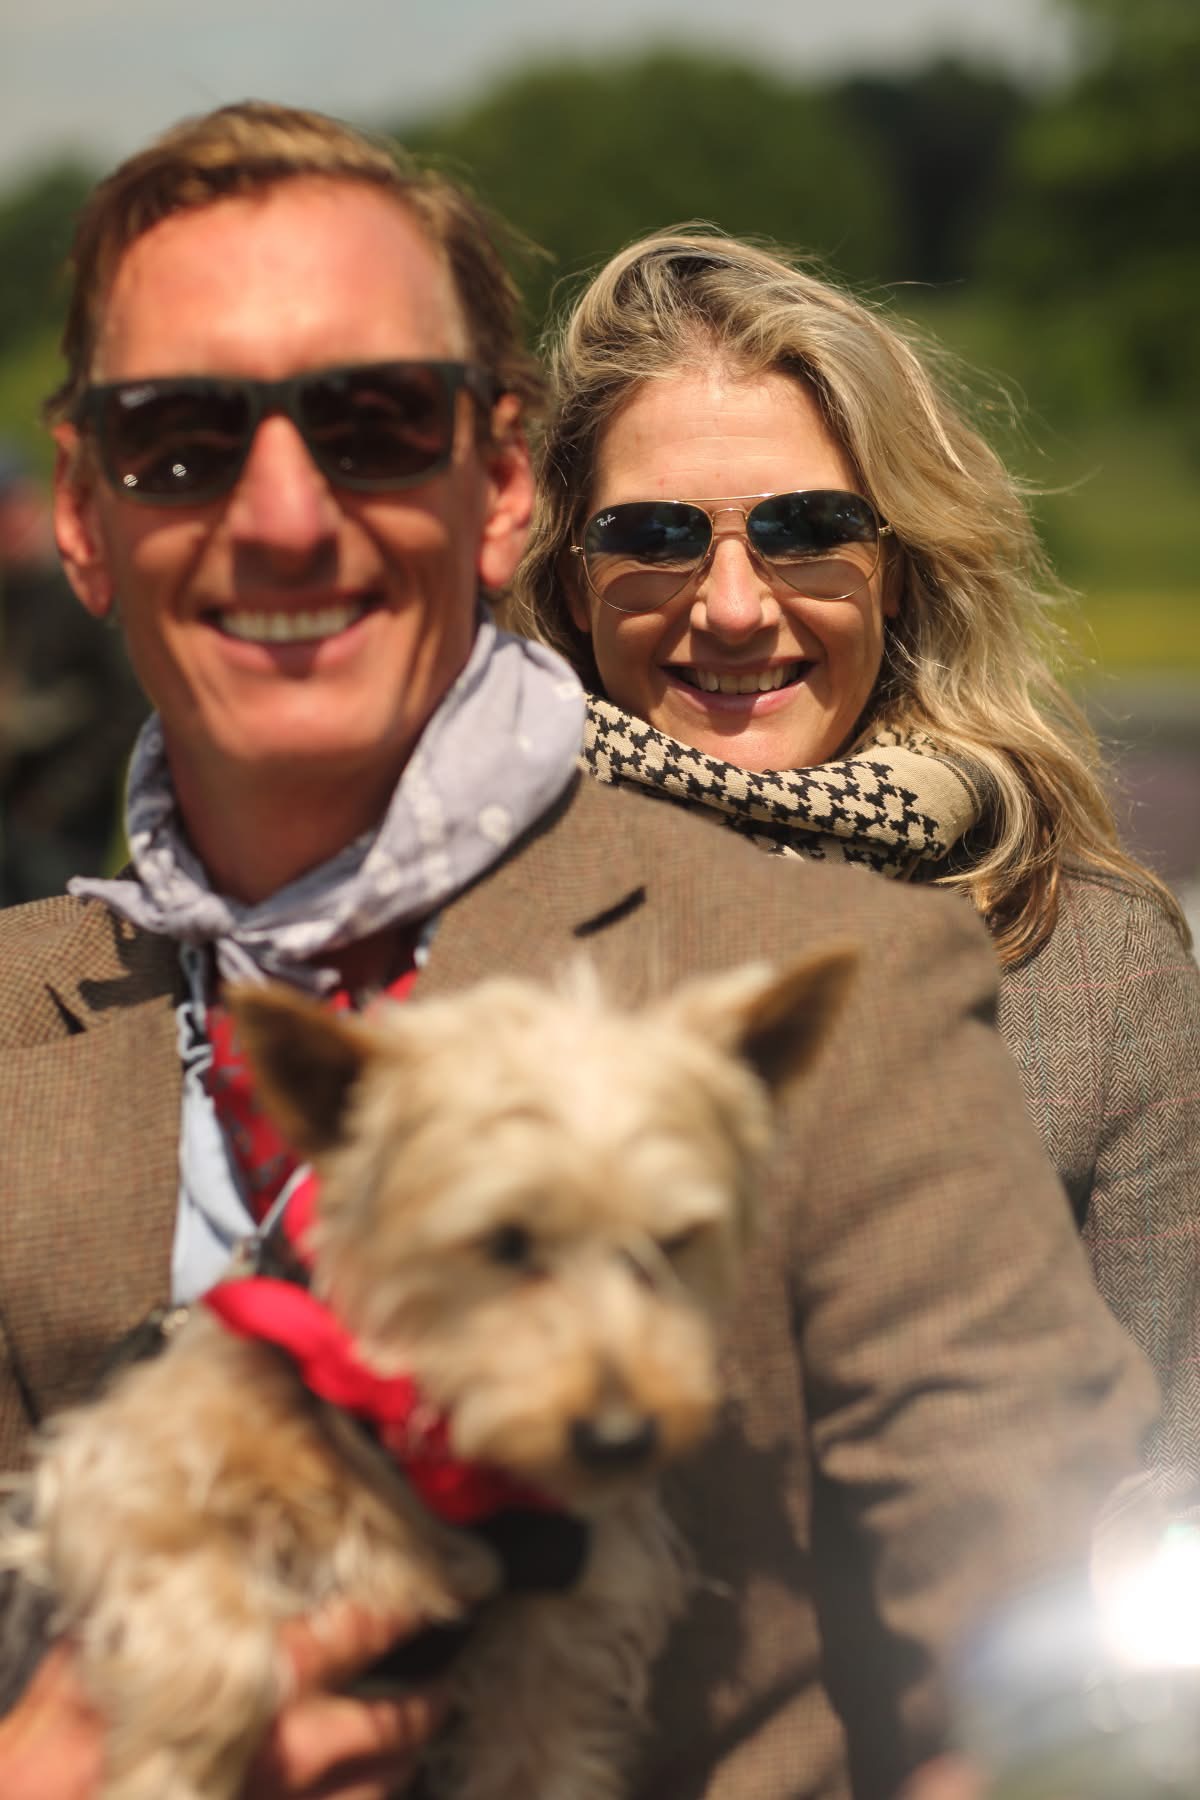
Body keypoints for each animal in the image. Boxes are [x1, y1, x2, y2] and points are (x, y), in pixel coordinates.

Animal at [1, 948, 853, 1800]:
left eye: (675, 1243)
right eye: (504, 1242)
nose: (621, 1440)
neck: (419, 1447)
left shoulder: (561, 1627)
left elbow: (539, 1757)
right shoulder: (115, 1470)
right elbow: (207, 1645)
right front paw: (169, 1769)